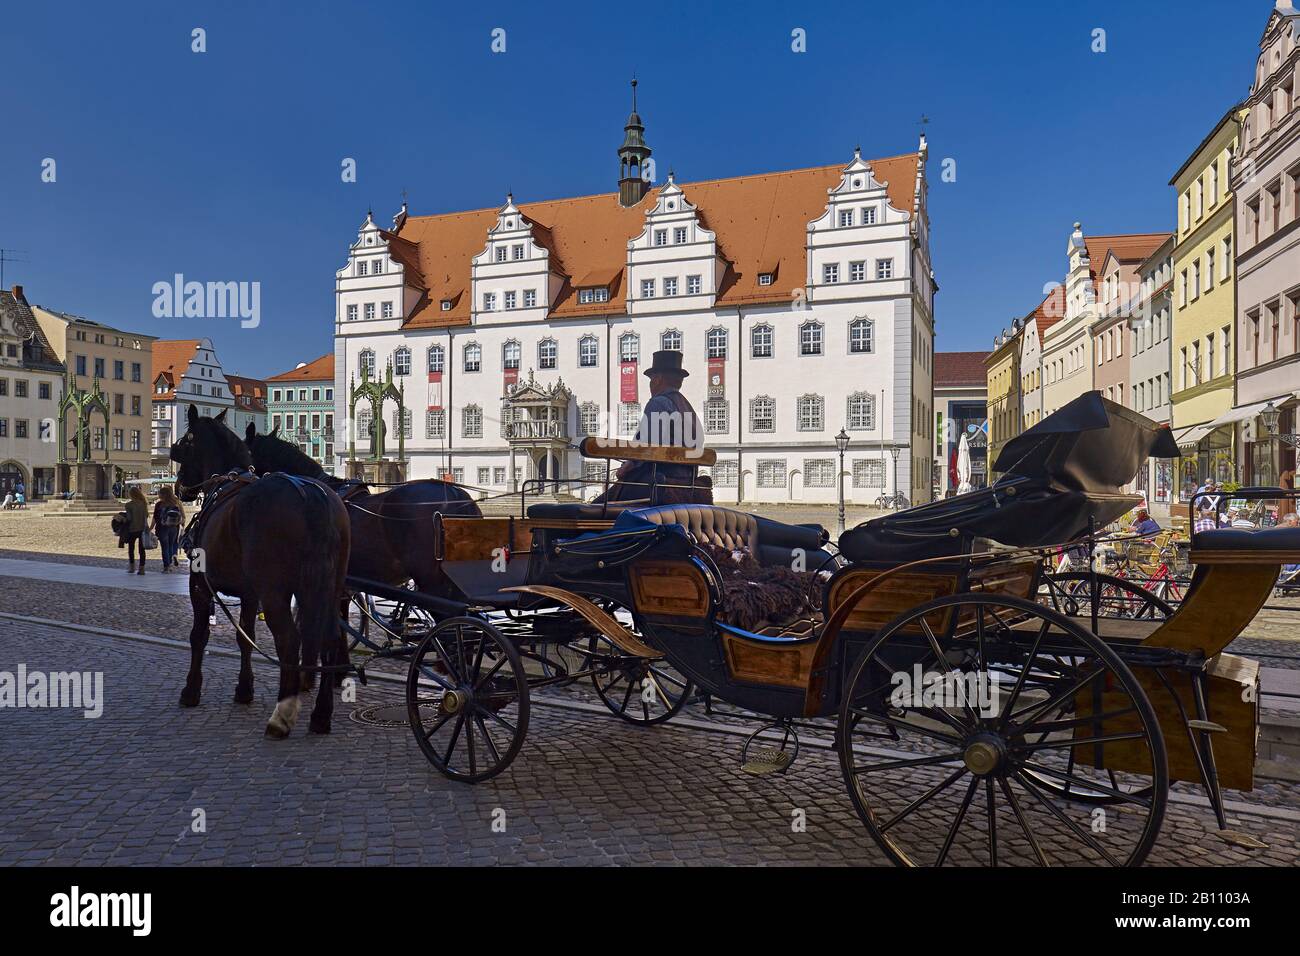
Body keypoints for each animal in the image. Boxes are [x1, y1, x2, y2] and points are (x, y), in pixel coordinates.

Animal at [175, 408, 356, 738]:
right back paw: (321, 715)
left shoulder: (200, 586)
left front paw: (191, 690)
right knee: (328, 640)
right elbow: (244, 636)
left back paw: (281, 715)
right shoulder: (250, 593)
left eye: (185, 444)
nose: (179, 486)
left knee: (289, 641)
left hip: (275, 594)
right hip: (329, 588)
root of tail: (313, 496)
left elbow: (199, 636)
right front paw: (244, 689)